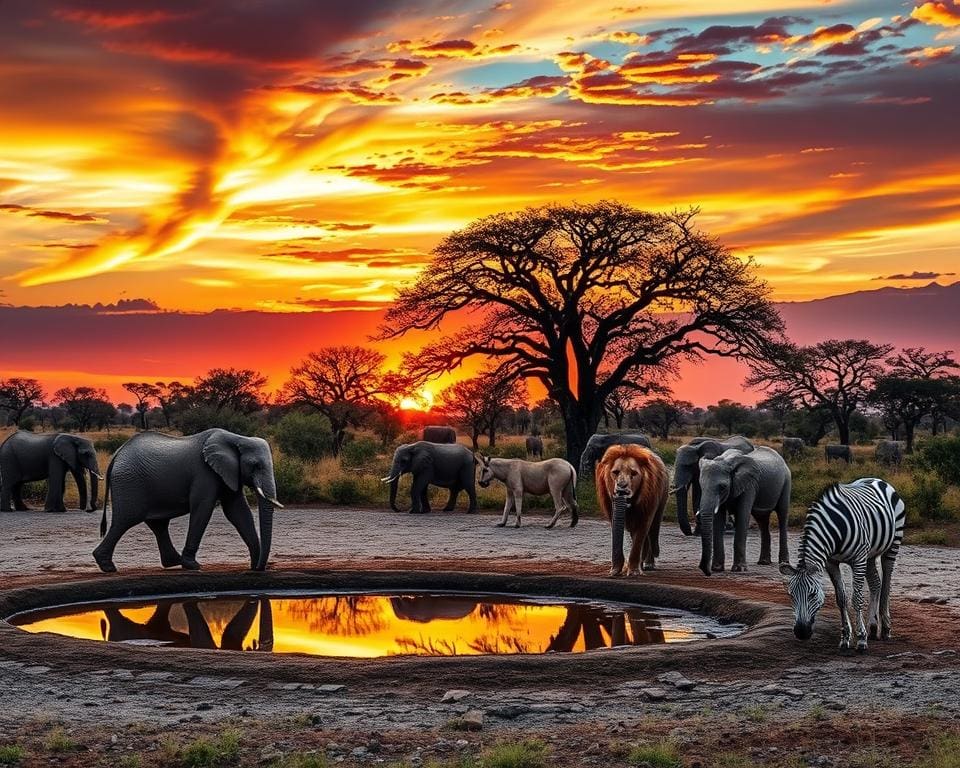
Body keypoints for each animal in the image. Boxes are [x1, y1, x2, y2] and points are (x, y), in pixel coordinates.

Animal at [93, 428, 282, 572]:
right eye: (256, 466)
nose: (259, 568)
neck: (237, 438)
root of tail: (116, 454)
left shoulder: (228, 472)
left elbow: (237, 511)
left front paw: (256, 564)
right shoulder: (204, 472)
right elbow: (203, 508)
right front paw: (193, 566)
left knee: (158, 524)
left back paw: (173, 562)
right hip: (130, 482)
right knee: (126, 520)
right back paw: (108, 567)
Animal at [596, 444, 672, 576]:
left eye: (634, 473)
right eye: (615, 472)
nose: (621, 490)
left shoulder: (649, 499)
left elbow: (641, 534)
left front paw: (634, 572)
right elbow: (617, 526)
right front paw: (617, 571)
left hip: (662, 500)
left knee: (651, 530)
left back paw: (648, 565)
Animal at [692, 444, 792, 576]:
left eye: (722, 487)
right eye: (701, 485)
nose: (706, 571)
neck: (726, 460)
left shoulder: (749, 485)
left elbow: (742, 515)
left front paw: (739, 569)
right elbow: (718, 520)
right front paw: (717, 569)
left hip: (786, 482)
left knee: (782, 515)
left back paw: (784, 564)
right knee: (762, 520)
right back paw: (764, 562)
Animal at [780, 476, 908, 652]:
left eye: (812, 594)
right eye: (791, 595)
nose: (801, 632)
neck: (833, 529)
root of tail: (877, 479)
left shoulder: (858, 559)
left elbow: (857, 598)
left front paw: (861, 639)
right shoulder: (831, 563)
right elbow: (841, 598)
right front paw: (845, 638)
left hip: (893, 543)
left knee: (886, 583)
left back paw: (886, 629)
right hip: (870, 553)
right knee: (876, 583)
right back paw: (873, 627)